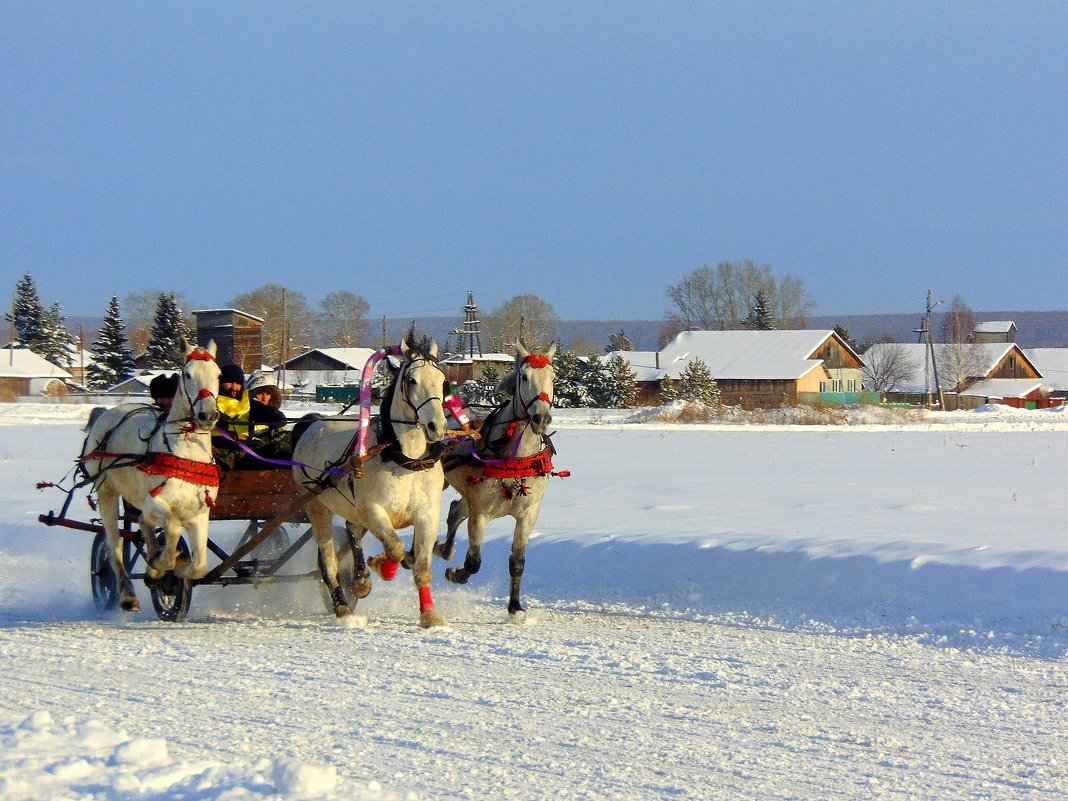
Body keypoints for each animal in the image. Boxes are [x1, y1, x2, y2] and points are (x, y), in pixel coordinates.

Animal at [80, 339, 221, 615]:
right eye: (187, 374)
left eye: (218, 374)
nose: (208, 416)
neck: (185, 456)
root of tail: (107, 413)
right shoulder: (156, 503)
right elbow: (173, 530)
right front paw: (160, 566)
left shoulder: (199, 513)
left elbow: (199, 565)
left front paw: (174, 566)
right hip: (107, 491)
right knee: (114, 545)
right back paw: (127, 594)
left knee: (142, 524)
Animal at [290, 331, 448, 627]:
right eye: (412, 380)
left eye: (443, 380)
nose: (437, 426)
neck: (404, 460)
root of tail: (312, 422)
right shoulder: (374, 511)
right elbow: (396, 548)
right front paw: (382, 566)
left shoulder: (427, 515)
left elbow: (420, 566)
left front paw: (429, 615)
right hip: (317, 506)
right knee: (328, 559)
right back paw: (343, 605)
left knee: (352, 532)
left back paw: (360, 580)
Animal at [437, 341, 563, 619]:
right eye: (524, 376)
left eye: (553, 377)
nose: (541, 419)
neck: (515, 459)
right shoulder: (480, 513)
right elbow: (473, 562)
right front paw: (456, 574)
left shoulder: (528, 514)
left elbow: (517, 562)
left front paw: (515, 606)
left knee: (455, 511)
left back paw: (444, 549)